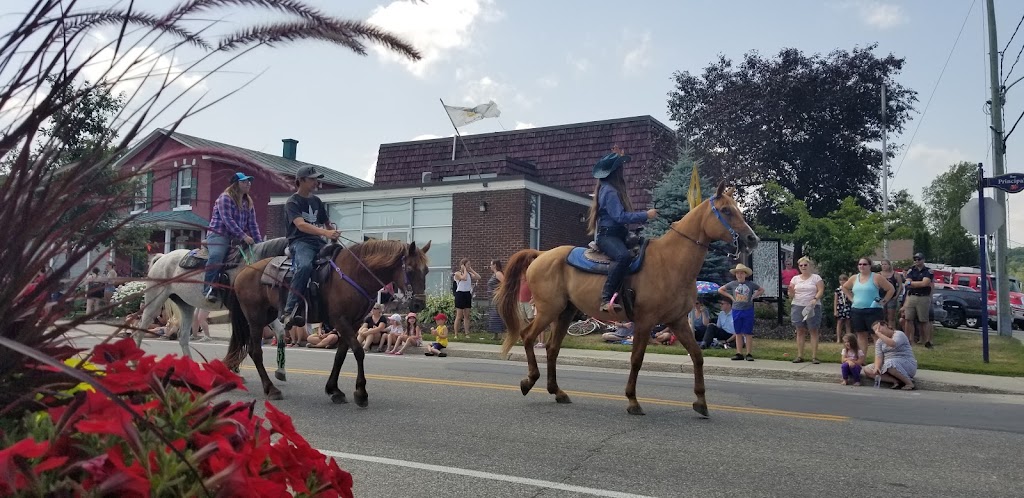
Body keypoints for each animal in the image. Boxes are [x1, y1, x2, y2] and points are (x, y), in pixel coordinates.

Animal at [132, 235, 290, 360]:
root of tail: (162, 258)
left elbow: (280, 331)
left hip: (186, 306)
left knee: (183, 337)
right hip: (154, 302)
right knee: (139, 331)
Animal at [226, 238, 430, 403]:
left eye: (426, 271)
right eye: (410, 270)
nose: (419, 304)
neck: (355, 274)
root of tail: (242, 272)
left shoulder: (353, 323)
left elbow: (341, 354)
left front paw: (334, 389)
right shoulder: (340, 320)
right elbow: (358, 352)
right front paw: (361, 392)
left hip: (266, 316)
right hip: (255, 319)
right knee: (255, 352)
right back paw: (271, 388)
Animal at [495, 182, 761, 416]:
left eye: (738, 209)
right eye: (726, 210)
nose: (752, 239)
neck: (671, 262)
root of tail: (540, 254)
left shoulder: (677, 321)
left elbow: (697, 356)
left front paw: (701, 402)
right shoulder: (645, 321)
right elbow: (636, 359)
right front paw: (633, 401)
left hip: (565, 312)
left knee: (552, 348)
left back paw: (557, 392)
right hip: (549, 309)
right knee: (528, 336)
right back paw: (529, 381)